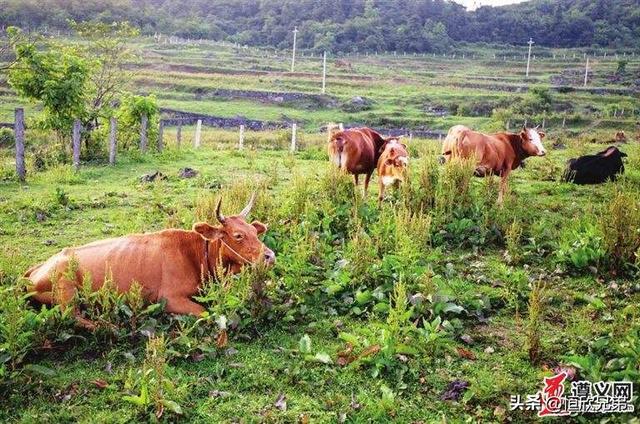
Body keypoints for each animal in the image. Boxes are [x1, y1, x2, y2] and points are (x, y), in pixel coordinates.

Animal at [25, 194, 272, 326]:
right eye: (238, 236)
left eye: (254, 231)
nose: (269, 256)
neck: (194, 255)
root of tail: (36, 269)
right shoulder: (170, 298)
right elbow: (206, 313)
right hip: (66, 290)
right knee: (74, 317)